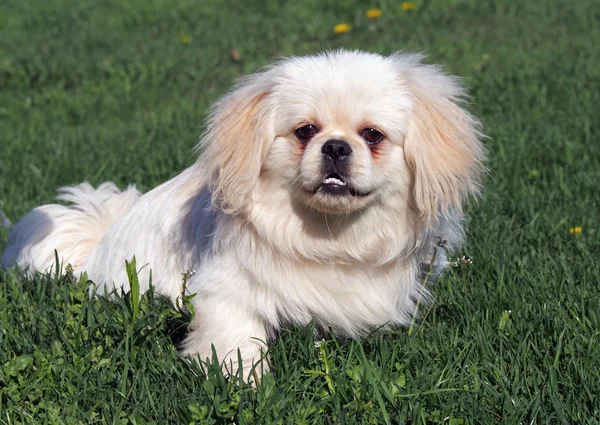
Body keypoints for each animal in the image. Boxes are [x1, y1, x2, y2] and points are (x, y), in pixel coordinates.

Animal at [1, 48, 488, 378]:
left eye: (372, 135)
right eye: (305, 131)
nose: (335, 146)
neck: (329, 235)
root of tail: (98, 244)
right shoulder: (222, 291)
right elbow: (236, 338)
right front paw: (246, 382)